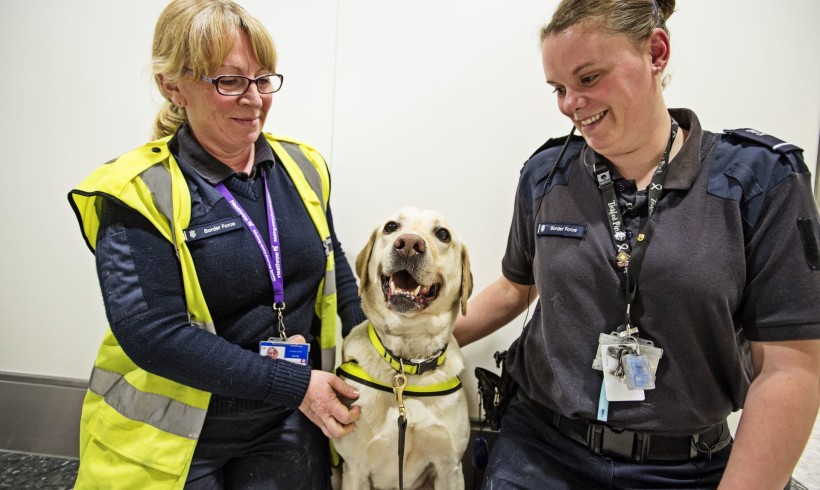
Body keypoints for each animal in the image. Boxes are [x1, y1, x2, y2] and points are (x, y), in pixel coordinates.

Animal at [334, 208, 474, 490]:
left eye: (443, 234)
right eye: (391, 227)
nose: (409, 244)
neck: (407, 361)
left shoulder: (449, 468)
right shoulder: (355, 469)